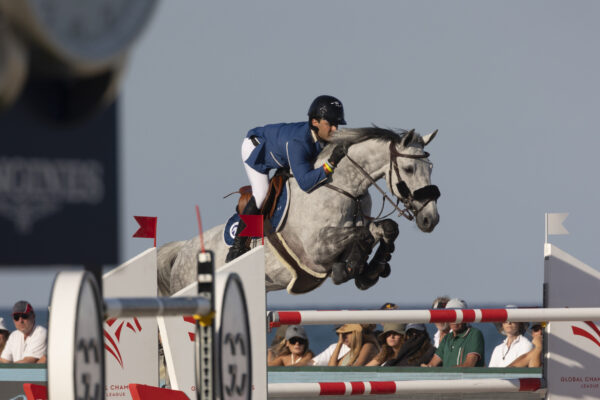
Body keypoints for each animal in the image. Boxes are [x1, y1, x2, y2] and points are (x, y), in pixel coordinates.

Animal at [158, 126, 440, 296]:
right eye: (409, 169)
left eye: (430, 168)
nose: (431, 219)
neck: (343, 187)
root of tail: (182, 250)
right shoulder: (317, 249)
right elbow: (361, 234)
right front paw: (351, 268)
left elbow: (383, 228)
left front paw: (368, 271)